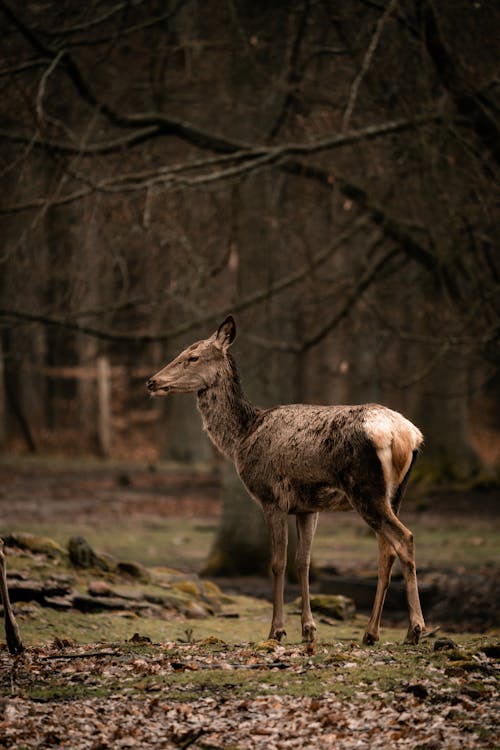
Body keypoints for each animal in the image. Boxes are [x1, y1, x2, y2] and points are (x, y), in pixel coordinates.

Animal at [147, 316, 426, 648]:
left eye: (193, 356)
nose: (152, 381)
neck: (242, 437)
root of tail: (406, 435)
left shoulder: (271, 497)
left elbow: (278, 563)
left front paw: (276, 630)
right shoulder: (308, 507)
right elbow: (302, 562)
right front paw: (308, 630)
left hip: (365, 489)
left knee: (405, 538)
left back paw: (414, 629)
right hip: (395, 493)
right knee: (387, 551)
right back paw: (371, 632)